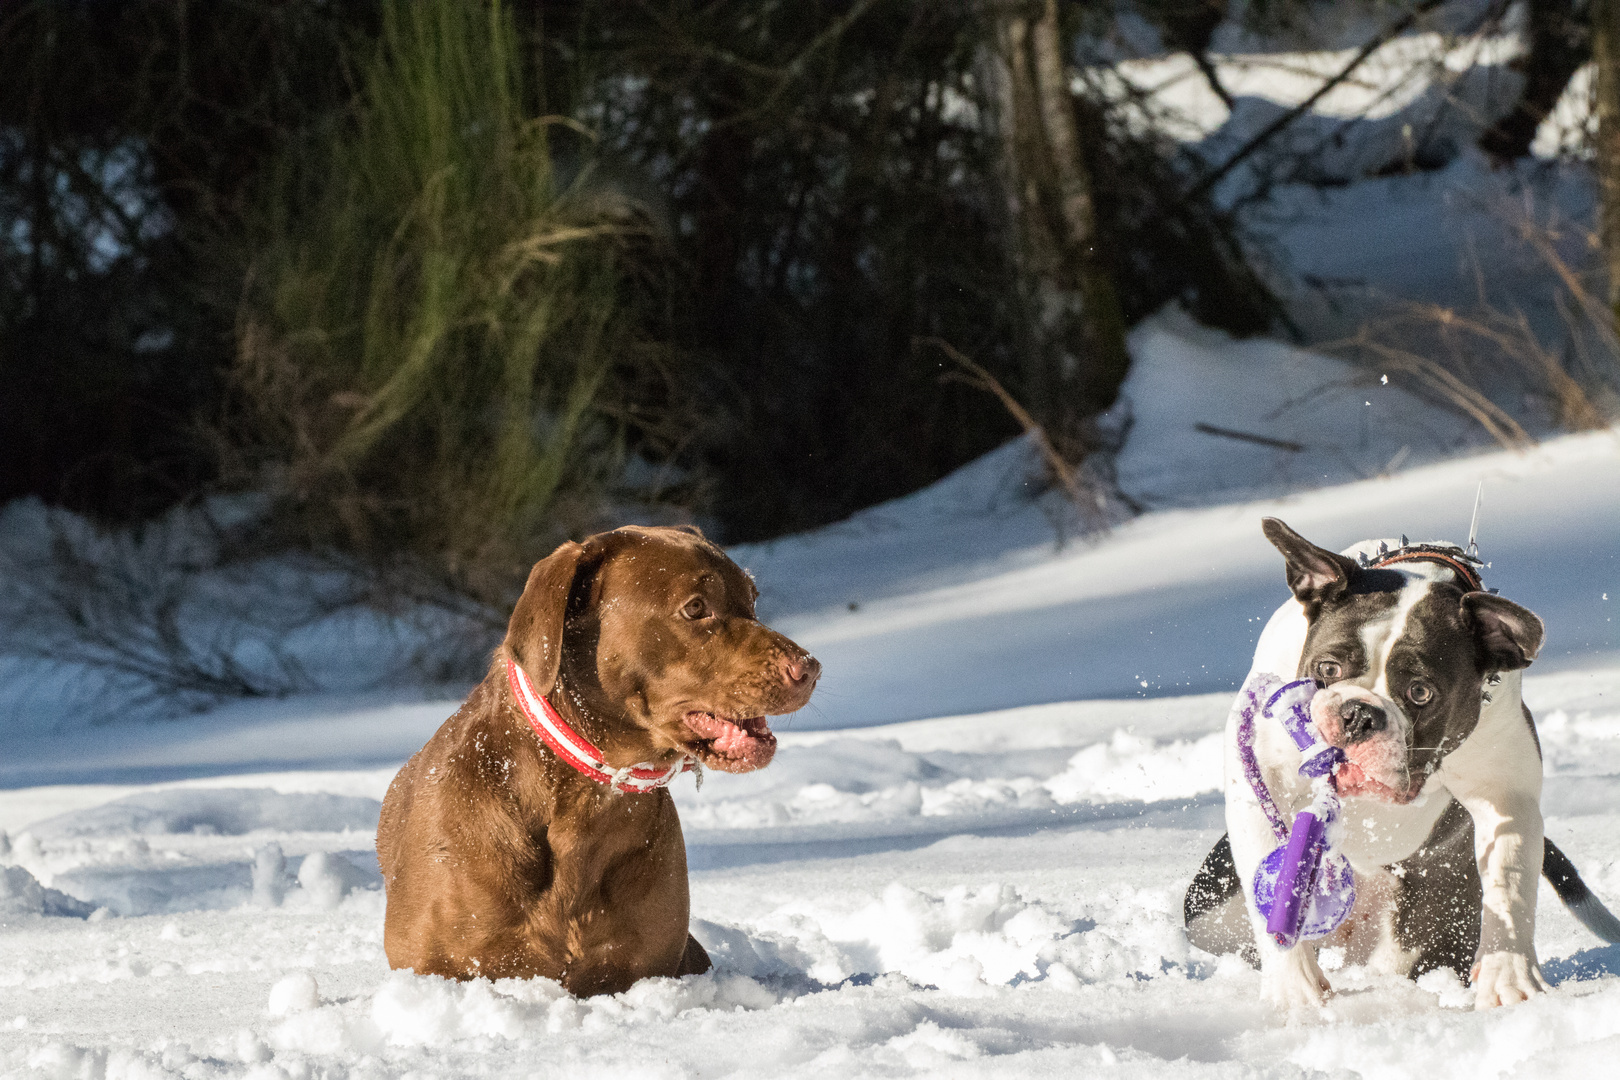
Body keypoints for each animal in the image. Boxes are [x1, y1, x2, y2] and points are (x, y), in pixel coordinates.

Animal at [372, 524, 816, 997]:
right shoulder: (436, 965)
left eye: (752, 599)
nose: (809, 669)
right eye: (696, 607)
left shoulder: (650, 964)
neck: (584, 806)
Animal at [1185, 518, 1613, 1010]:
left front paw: (1509, 977)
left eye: (1421, 692)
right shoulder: (1261, 785)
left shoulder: (1506, 796)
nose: (1357, 715)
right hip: (1210, 916)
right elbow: (1276, 888)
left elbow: (1509, 879)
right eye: (1327, 668)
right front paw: (1295, 990)